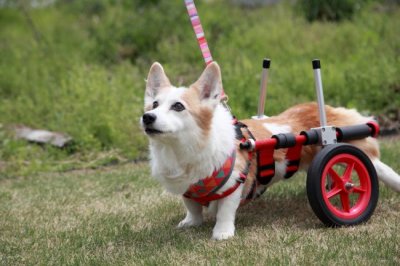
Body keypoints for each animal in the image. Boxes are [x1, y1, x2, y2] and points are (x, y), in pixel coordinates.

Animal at [141, 61, 400, 240]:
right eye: (154, 104)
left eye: (178, 106)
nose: (147, 117)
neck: (181, 150)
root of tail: (327, 110)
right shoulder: (187, 189)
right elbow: (192, 206)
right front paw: (190, 223)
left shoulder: (235, 182)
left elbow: (225, 210)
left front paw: (222, 233)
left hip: (346, 149)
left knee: (378, 169)